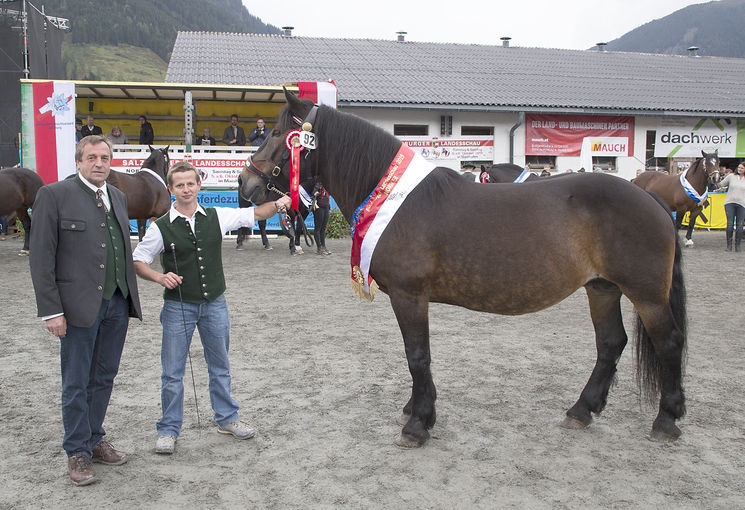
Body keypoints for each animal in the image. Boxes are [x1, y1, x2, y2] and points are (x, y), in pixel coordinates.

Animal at [241, 89, 688, 448]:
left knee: (668, 343)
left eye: (279, 134)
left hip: (646, 294)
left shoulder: (409, 296)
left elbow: (417, 355)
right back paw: (582, 410)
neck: (398, 199)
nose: (246, 184)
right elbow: (417, 357)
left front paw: (418, 425)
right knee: (610, 343)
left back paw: (666, 420)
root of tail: (651, 199)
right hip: (602, 288)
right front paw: (415, 409)